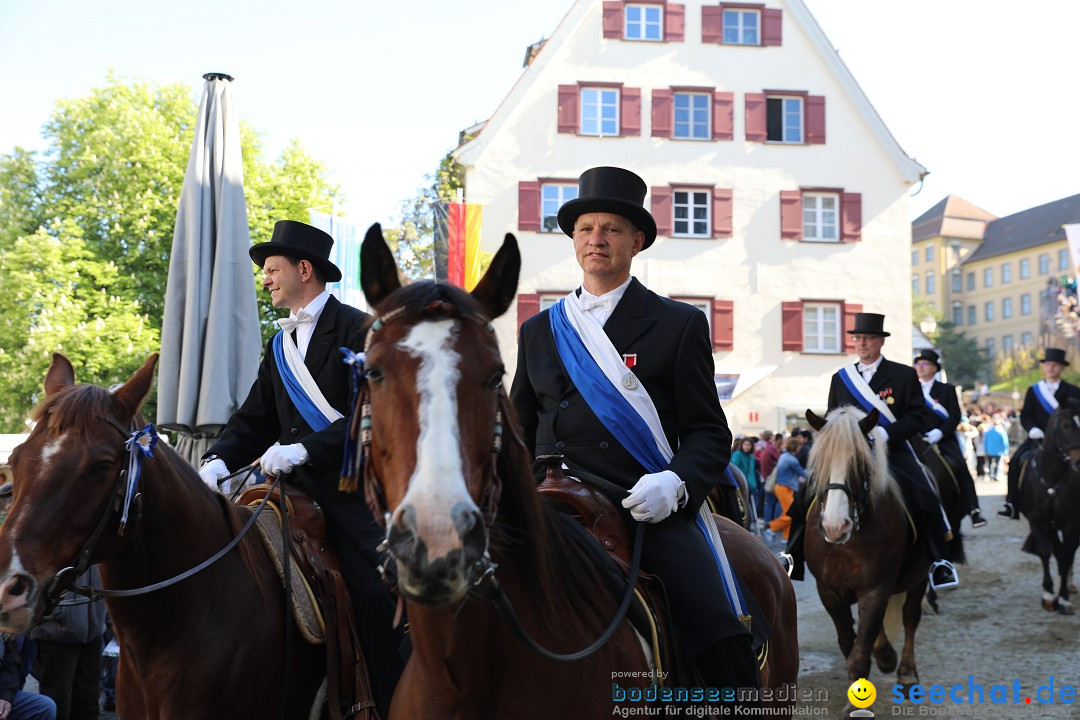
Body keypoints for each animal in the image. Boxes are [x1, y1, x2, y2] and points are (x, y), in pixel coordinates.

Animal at [349, 226, 799, 720]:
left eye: (494, 375)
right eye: (373, 372)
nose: (437, 541)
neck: (465, 674)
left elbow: (709, 429)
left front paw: (655, 493)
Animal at [807, 405, 933, 716]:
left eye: (860, 463)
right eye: (820, 463)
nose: (834, 527)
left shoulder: (876, 588)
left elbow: (860, 650)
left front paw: (857, 704)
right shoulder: (829, 592)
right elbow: (848, 642)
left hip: (919, 576)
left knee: (910, 617)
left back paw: (906, 673)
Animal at [1019, 403, 1080, 617]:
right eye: (1066, 425)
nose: (1079, 462)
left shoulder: (1072, 522)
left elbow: (1066, 555)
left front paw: (1063, 599)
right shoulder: (1037, 519)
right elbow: (1046, 552)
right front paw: (1048, 596)